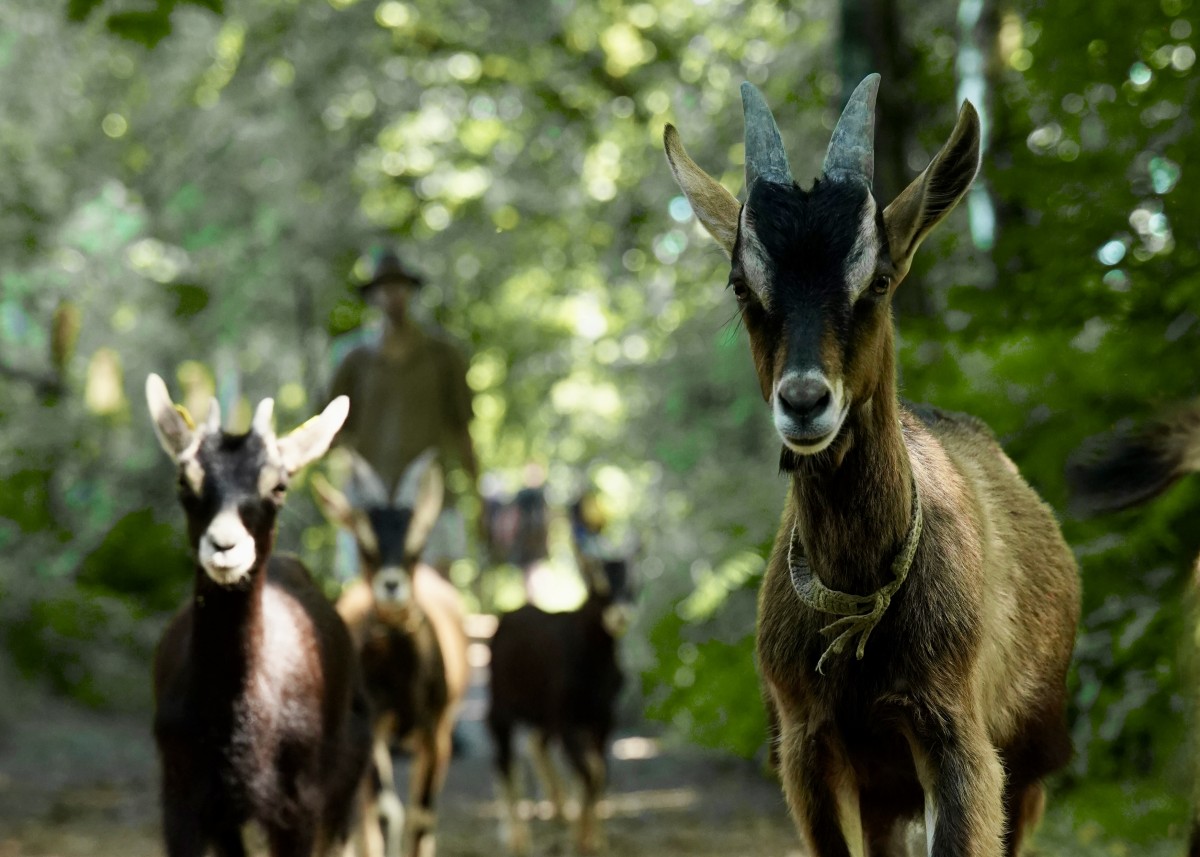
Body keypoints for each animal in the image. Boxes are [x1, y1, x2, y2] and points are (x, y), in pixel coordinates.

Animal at [313, 450, 469, 857]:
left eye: (417, 544)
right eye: (365, 546)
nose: (392, 586)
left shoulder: (437, 731)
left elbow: (422, 816)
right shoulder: (374, 725)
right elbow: (385, 812)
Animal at [487, 543, 632, 855]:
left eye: (632, 584)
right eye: (598, 585)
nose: (621, 617)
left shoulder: (603, 719)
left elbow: (599, 772)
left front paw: (594, 838)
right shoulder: (568, 722)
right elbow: (590, 772)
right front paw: (579, 841)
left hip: (545, 713)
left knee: (534, 743)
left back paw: (560, 809)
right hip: (501, 707)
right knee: (504, 761)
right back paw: (517, 838)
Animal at [664, 76, 1080, 856]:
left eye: (880, 279)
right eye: (741, 284)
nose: (804, 401)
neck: (858, 599)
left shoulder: (958, 741)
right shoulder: (808, 746)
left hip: (1031, 760)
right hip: (886, 790)